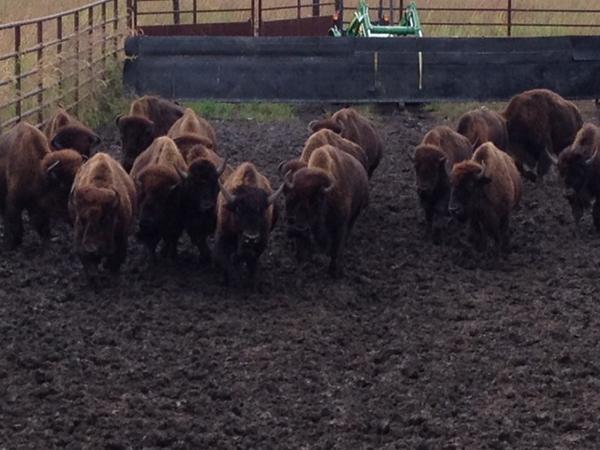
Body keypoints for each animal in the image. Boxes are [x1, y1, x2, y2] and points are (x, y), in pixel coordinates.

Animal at [0, 122, 84, 250]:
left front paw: (47, 240)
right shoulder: (13, 201)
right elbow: (14, 223)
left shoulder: (39, 205)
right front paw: (12, 244)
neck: (38, 170)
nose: (75, 220)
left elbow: (42, 223)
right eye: (62, 186)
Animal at [282, 144, 370, 278]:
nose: (299, 228)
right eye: (292, 198)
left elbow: (335, 250)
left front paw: (334, 272)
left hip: (355, 214)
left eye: (316, 200)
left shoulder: (340, 227)